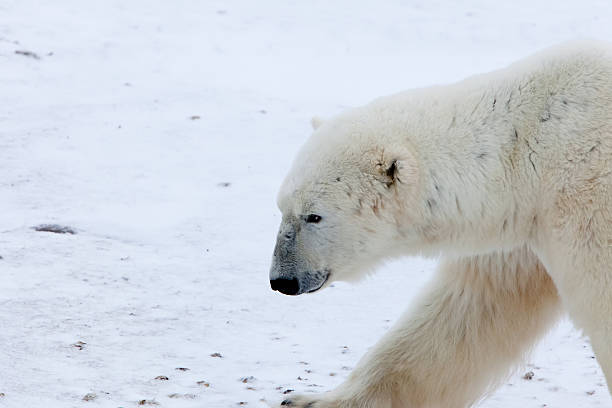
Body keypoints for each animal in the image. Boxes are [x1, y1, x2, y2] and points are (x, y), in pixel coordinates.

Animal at [270, 42, 612, 408]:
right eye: (281, 208)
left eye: (314, 216)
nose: (282, 280)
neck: (532, 147)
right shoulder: (523, 230)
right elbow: (467, 313)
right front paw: (312, 400)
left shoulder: (585, 202)